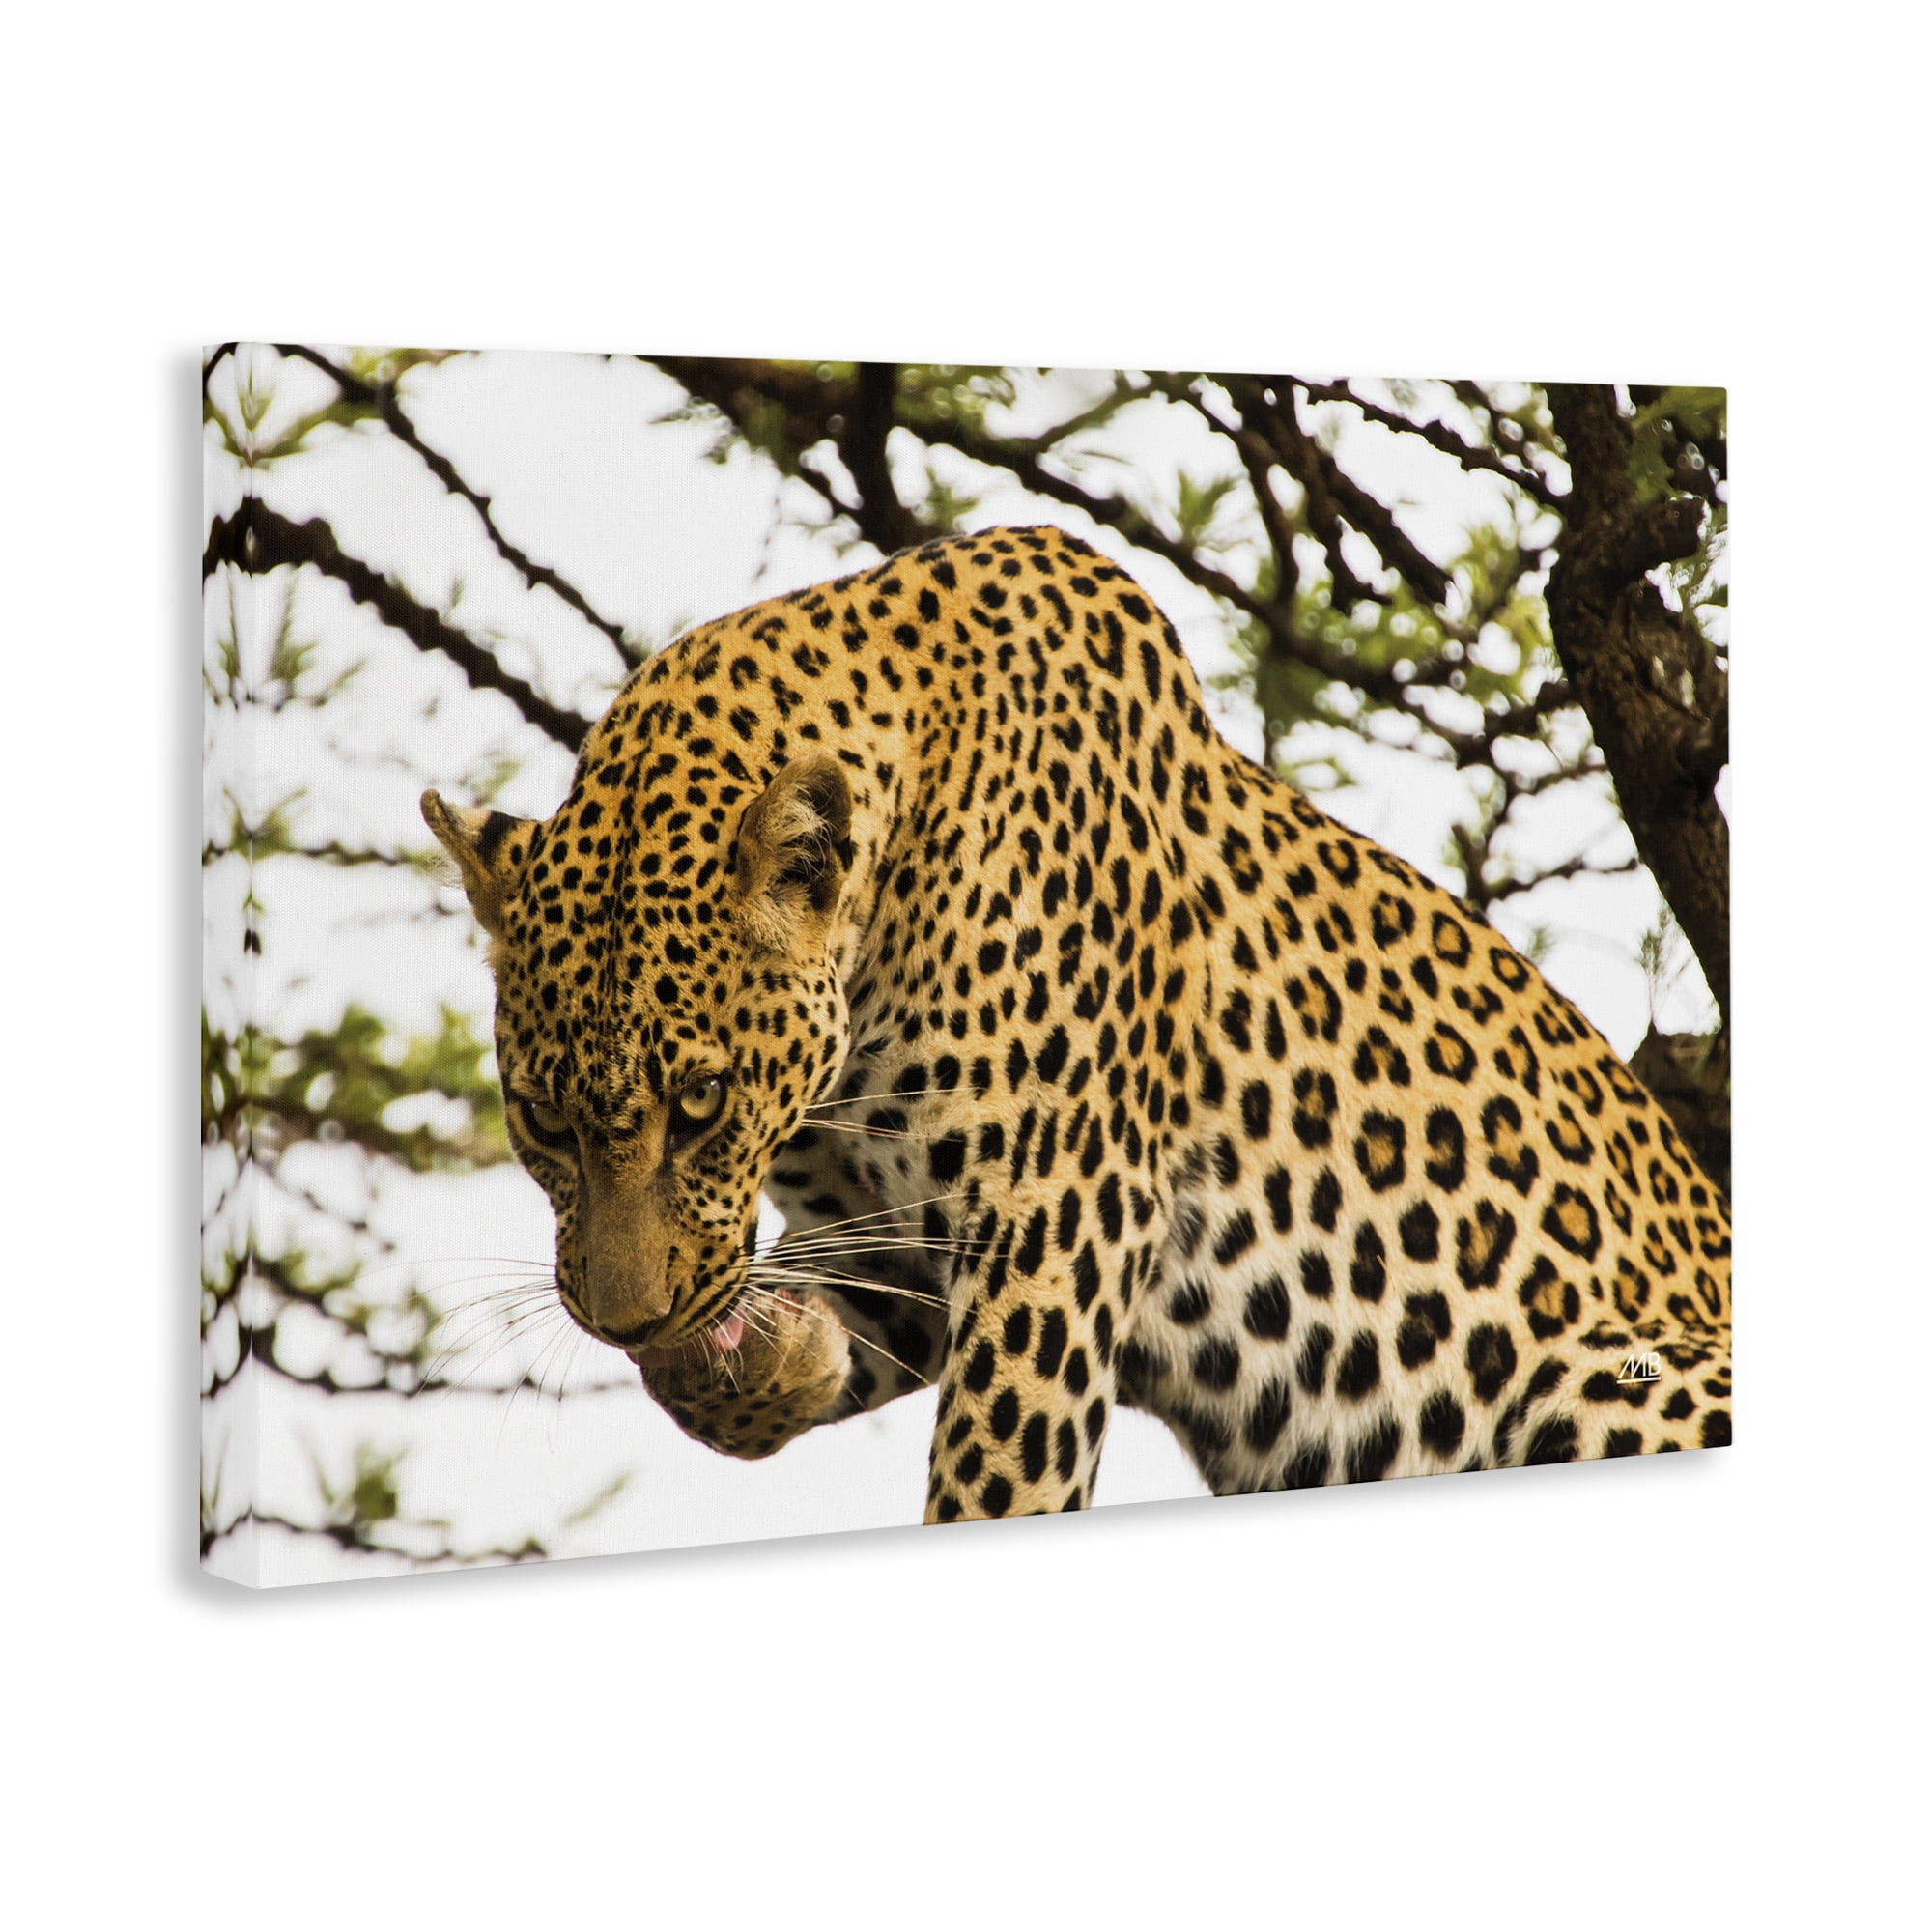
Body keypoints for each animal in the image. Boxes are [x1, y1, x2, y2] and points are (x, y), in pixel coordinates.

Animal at [423, 524, 1731, 1524]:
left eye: (700, 1103)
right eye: (540, 1118)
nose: (622, 1317)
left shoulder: (1053, 1221)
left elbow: (996, 1482)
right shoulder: (893, 1241)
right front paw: (769, 1353)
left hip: (1600, 1375)